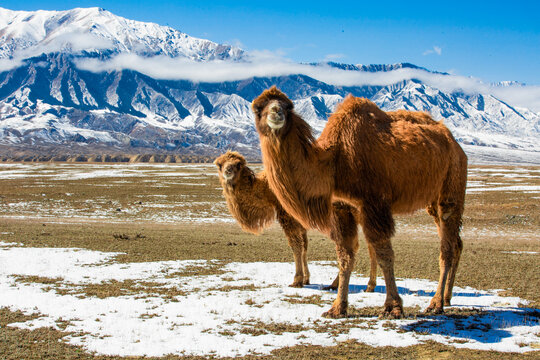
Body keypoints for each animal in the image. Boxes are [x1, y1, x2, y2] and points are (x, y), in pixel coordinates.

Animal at [213, 150, 378, 292]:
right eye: (219, 164)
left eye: (238, 164)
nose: (228, 171)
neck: (268, 190)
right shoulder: (300, 221)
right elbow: (305, 246)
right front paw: (306, 279)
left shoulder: (286, 214)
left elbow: (296, 245)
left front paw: (297, 280)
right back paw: (358, 285)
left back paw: (350, 284)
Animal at [251, 87, 466, 318]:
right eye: (258, 107)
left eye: (288, 106)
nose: (276, 112)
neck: (335, 161)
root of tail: (456, 144)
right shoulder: (341, 207)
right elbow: (345, 256)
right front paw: (337, 308)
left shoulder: (374, 203)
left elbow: (384, 254)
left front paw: (393, 307)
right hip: (433, 201)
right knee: (455, 241)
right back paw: (447, 297)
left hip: (452, 184)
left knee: (447, 246)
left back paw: (436, 304)